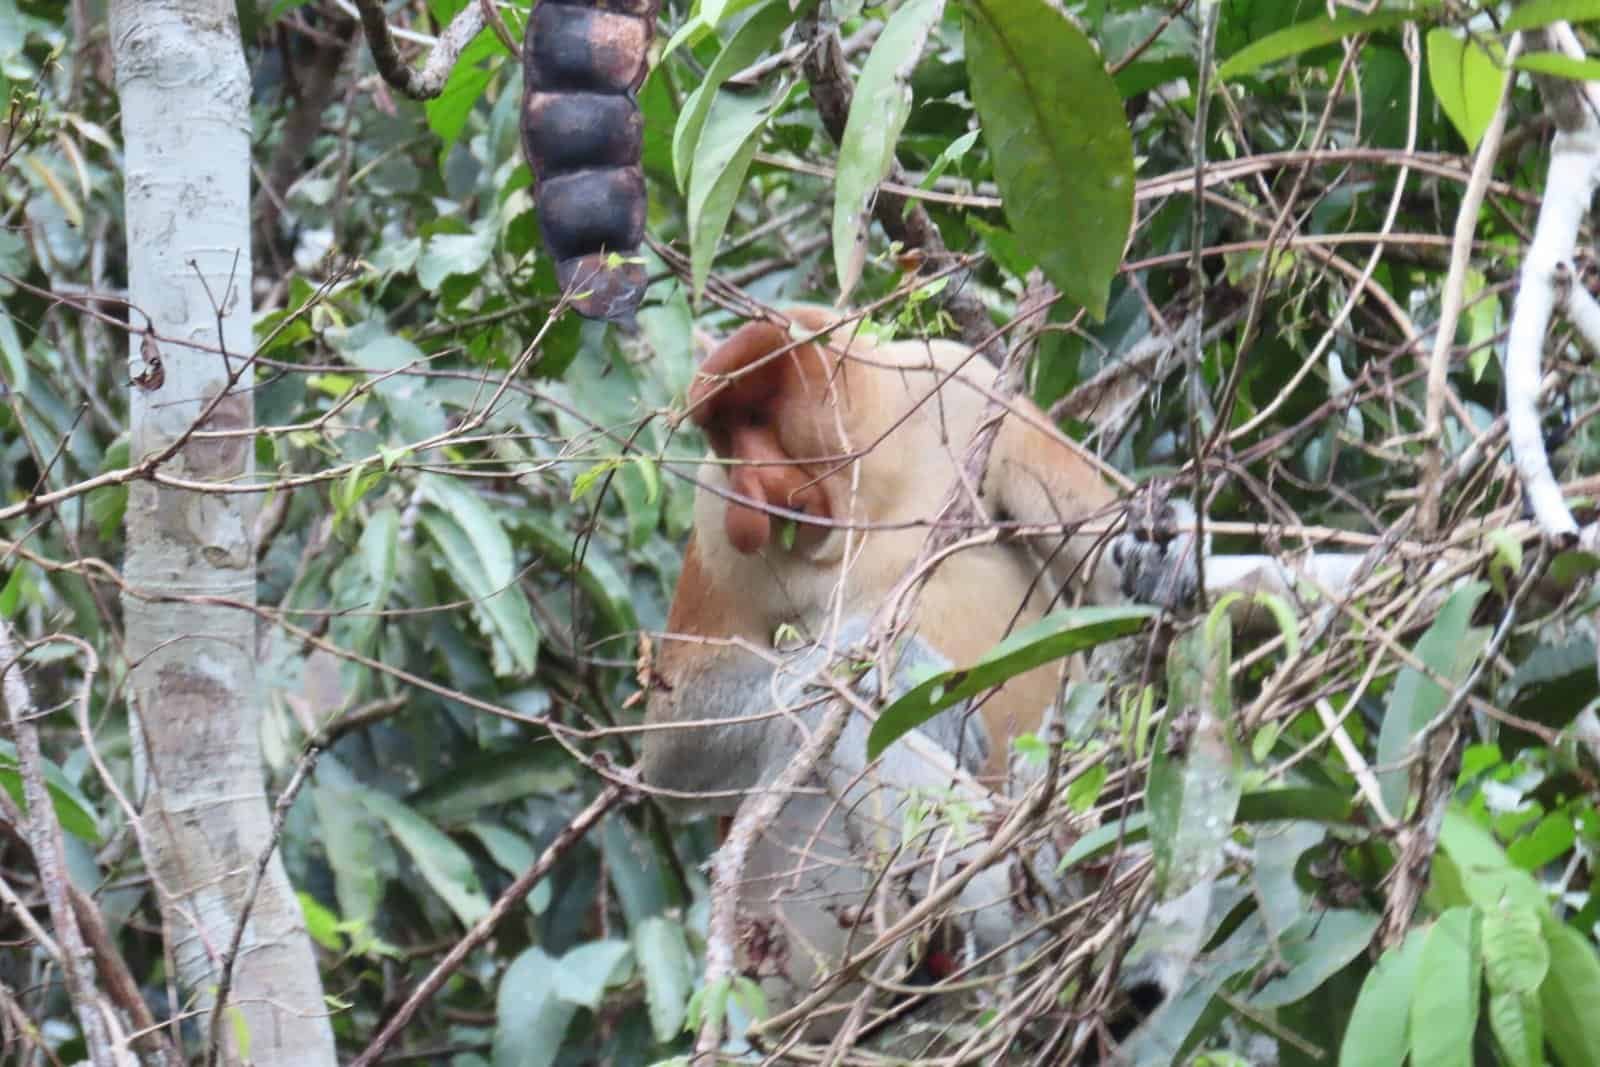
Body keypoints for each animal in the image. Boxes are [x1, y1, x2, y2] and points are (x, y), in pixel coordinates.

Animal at [637, 307, 1202, 1041]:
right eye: (723, 437)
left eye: (756, 416)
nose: (747, 502)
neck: (872, 483)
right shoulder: (712, 520)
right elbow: (676, 742)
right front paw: (903, 667)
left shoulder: (971, 389)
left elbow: (1108, 576)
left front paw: (1163, 561)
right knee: (828, 733)